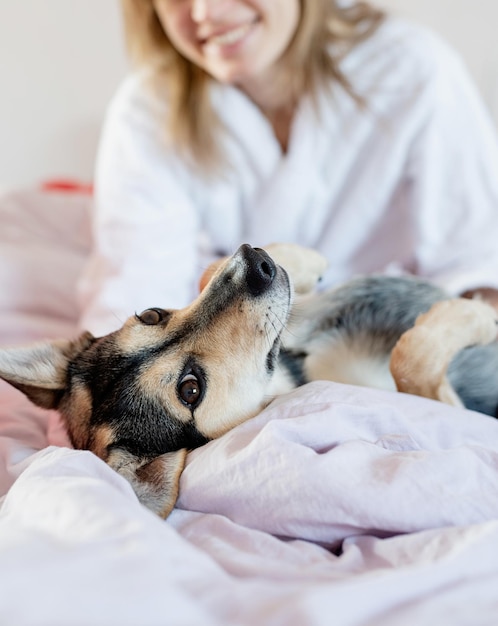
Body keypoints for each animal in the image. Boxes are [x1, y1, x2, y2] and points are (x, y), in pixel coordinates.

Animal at [0, 241, 498, 516]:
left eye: (151, 314)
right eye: (190, 389)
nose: (257, 262)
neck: (298, 366)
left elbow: (208, 272)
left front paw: (302, 259)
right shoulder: (455, 410)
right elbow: (410, 361)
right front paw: (477, 318)